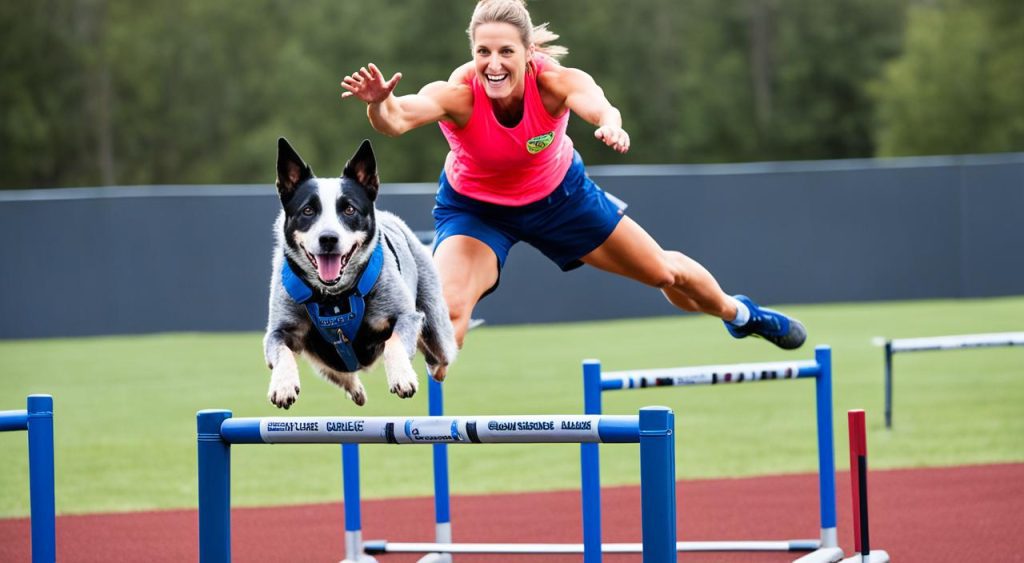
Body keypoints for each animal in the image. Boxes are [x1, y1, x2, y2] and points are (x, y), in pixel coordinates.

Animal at [264, 137, 456, 411]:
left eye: (350, 210)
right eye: (308, 210)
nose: (328, 238)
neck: (334, 298)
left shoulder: (405, 315)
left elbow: (394, 342)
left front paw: (402, 377)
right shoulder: (280, 328)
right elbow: (281, 350)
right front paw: (283, 386)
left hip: (435, 322)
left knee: (439, 354)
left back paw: (435, 369)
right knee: (336, 371)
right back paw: (355, 389)